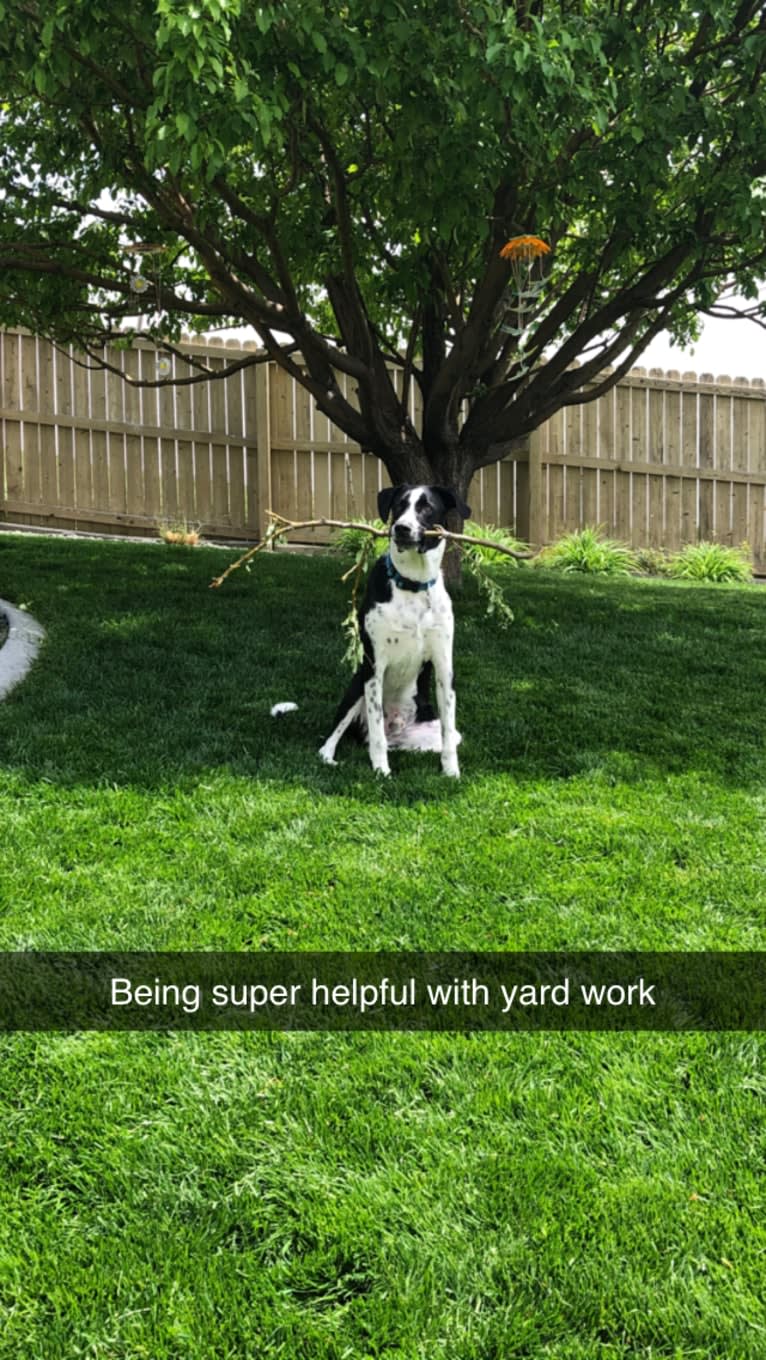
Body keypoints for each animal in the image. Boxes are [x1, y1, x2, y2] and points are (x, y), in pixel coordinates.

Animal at [319, 484, 473, 783]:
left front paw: (451, 772)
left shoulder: (444, 669)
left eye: (427, 507)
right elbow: (377, 730)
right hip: (356, 689)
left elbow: (449, 733)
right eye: (399, 506)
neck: (413, 584)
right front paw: (381, 770)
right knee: (342, 740)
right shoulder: (374, 668)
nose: (401, 528)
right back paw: (334, 758)